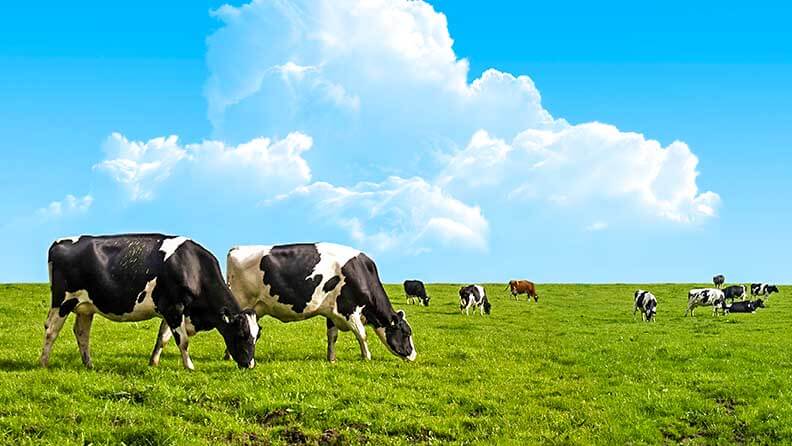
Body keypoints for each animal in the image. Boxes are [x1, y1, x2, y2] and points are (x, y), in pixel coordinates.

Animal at [41, 233, 258, 370]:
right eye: (241, 334)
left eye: (257, 336)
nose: (250, 364)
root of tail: (59, 242)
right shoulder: (173, 307)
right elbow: (183, 341)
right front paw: (189, 366)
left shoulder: (171, 310)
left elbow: (163, 338)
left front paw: (153, 362)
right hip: (62, 301)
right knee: (51, 330)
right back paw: (43, 362)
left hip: (85, 307)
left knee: (82, 333)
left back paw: (89, 364)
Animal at [223, 244, 418, 362]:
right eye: (406, 333)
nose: (414, 355)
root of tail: (236, 249)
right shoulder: (349, 309)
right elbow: (362, 334)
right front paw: (366, 357)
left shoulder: (332, 311)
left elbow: (332, 336)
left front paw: (331, 359)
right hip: (241, 301)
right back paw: (230, 356)